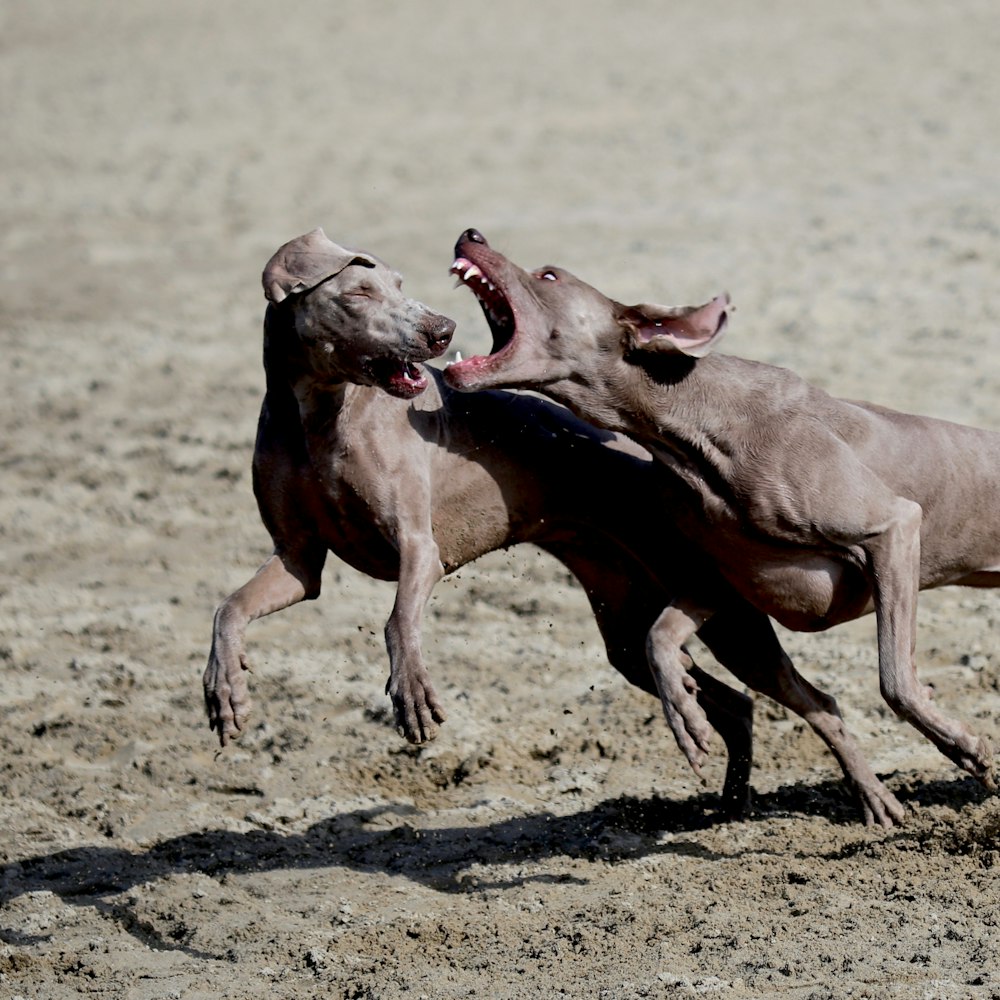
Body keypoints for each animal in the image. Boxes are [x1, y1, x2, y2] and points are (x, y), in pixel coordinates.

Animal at [203, 230, 900, 824]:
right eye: (358, 294)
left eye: (399, 284)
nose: (439, 330)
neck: (318, 418)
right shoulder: (298, 561)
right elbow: (228, 608)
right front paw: (224, 691)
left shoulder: (419, 549)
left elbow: (399, 619)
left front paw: (412, 694)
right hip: (629, 626)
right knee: (726, 700)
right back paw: (729, 801)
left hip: (728, 617)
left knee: (803, 700)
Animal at [446, 223, 1000, 808]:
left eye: (549, 275)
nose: (470, 232)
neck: (691, 432)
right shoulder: (718, 583)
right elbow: (659, 639)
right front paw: (685, 712)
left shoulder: (892, 529)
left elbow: (895, 679)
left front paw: (969, 750)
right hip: (744, 638)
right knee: (817, 703)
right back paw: (870, 801)